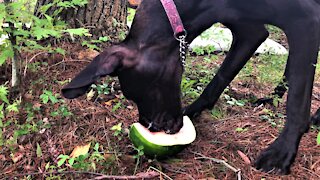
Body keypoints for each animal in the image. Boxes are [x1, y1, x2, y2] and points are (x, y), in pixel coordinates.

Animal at [62, 0, 320, 174]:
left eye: (147, 90)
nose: (151, 128)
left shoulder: (306, 20)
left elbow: (297, 100)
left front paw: (281, 153)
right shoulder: (250, 30)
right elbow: (221, 76)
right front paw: (195, 110)